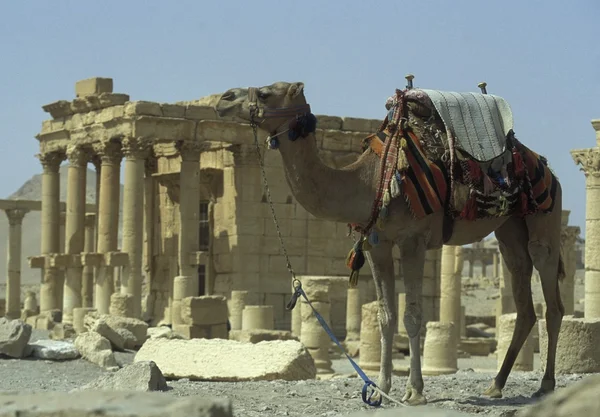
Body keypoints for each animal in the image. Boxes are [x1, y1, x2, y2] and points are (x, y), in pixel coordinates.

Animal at [216, 80, 568, 404]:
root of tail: (546, 166)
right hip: (509, 229)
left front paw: (415, 391)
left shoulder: (413, 241)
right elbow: (385, 316)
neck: (370, 181)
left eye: (265, 93)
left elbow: (413, 316)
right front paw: (380, 388)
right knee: (523, 298)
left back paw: (545, 385)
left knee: (551, 298)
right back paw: (495, 385)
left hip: (547, 214)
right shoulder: (377, 244)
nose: (223, 98)